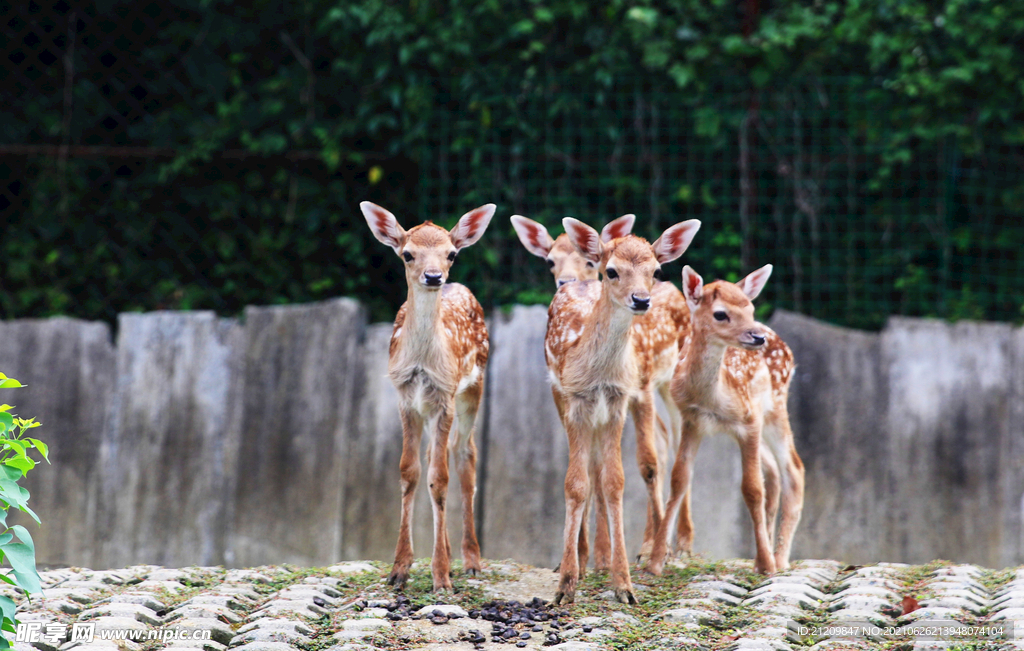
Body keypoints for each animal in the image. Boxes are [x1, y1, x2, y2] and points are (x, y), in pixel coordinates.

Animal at [362, 200, 493, 593]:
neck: (421, 363)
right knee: (443, 454)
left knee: (464, 455)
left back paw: (470, 560)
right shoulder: (405, 397)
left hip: (473, 387)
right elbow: (409, 471)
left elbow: (439, 478)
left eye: (451, 253)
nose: (434, 276)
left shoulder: (444, 394)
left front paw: (441, 577)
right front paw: (399, 569)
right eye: (407, 254)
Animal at [544, 215, 704, 601]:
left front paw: (625, 584)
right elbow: (576, 482)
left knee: (670, 439)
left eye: (655, 269)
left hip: (666, 381)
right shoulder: (576, 398)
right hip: (563, 395)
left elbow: (617, 479)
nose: (641, 299)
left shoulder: (619, 398)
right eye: (612, 271)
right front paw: (566, 583)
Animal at [647, 264, 806, 573]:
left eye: (750, 308)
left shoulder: (749, 421)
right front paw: (655, 561)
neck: (712, 399)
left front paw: (766, 565)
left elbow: (752, 488)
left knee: (793, 468)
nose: (757, 337)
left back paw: (779, 559)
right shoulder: (691, 421)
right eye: (720, 314)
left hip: (775, 406)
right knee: (776, 470)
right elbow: (679, 479)